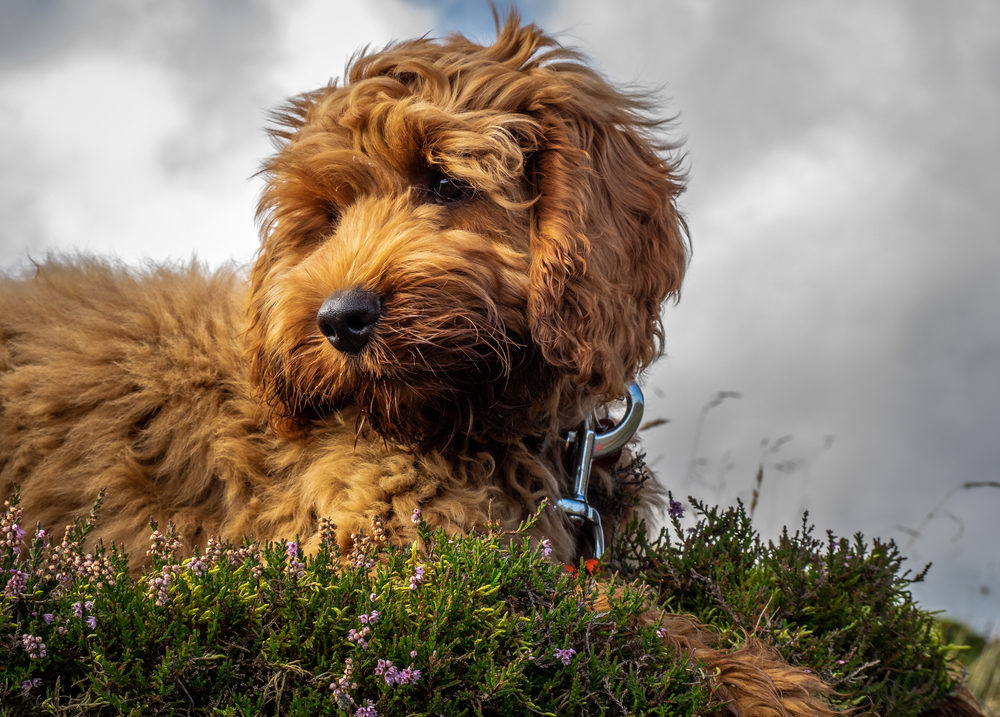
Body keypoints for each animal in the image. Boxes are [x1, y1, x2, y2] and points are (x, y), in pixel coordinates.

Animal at [1, 12, 852, 716]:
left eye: (445, 181)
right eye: (327, 217)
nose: (339, 319)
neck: (485, 419)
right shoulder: (376, 546)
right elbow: (591, 610)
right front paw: (767, 683)